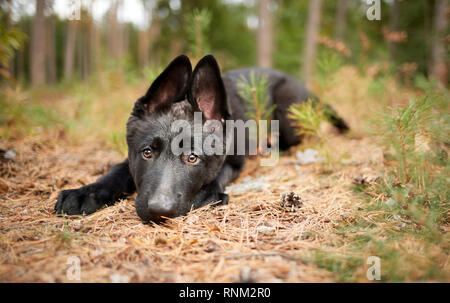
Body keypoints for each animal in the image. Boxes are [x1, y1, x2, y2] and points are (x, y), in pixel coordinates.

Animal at [53, 54, 348, 222]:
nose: (160, 211)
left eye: (193, 158)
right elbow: (117, 170)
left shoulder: (234, 162)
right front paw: (85, 192)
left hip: (288, 110)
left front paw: (208, 194)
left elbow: (219, 175)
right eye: (147, 153)